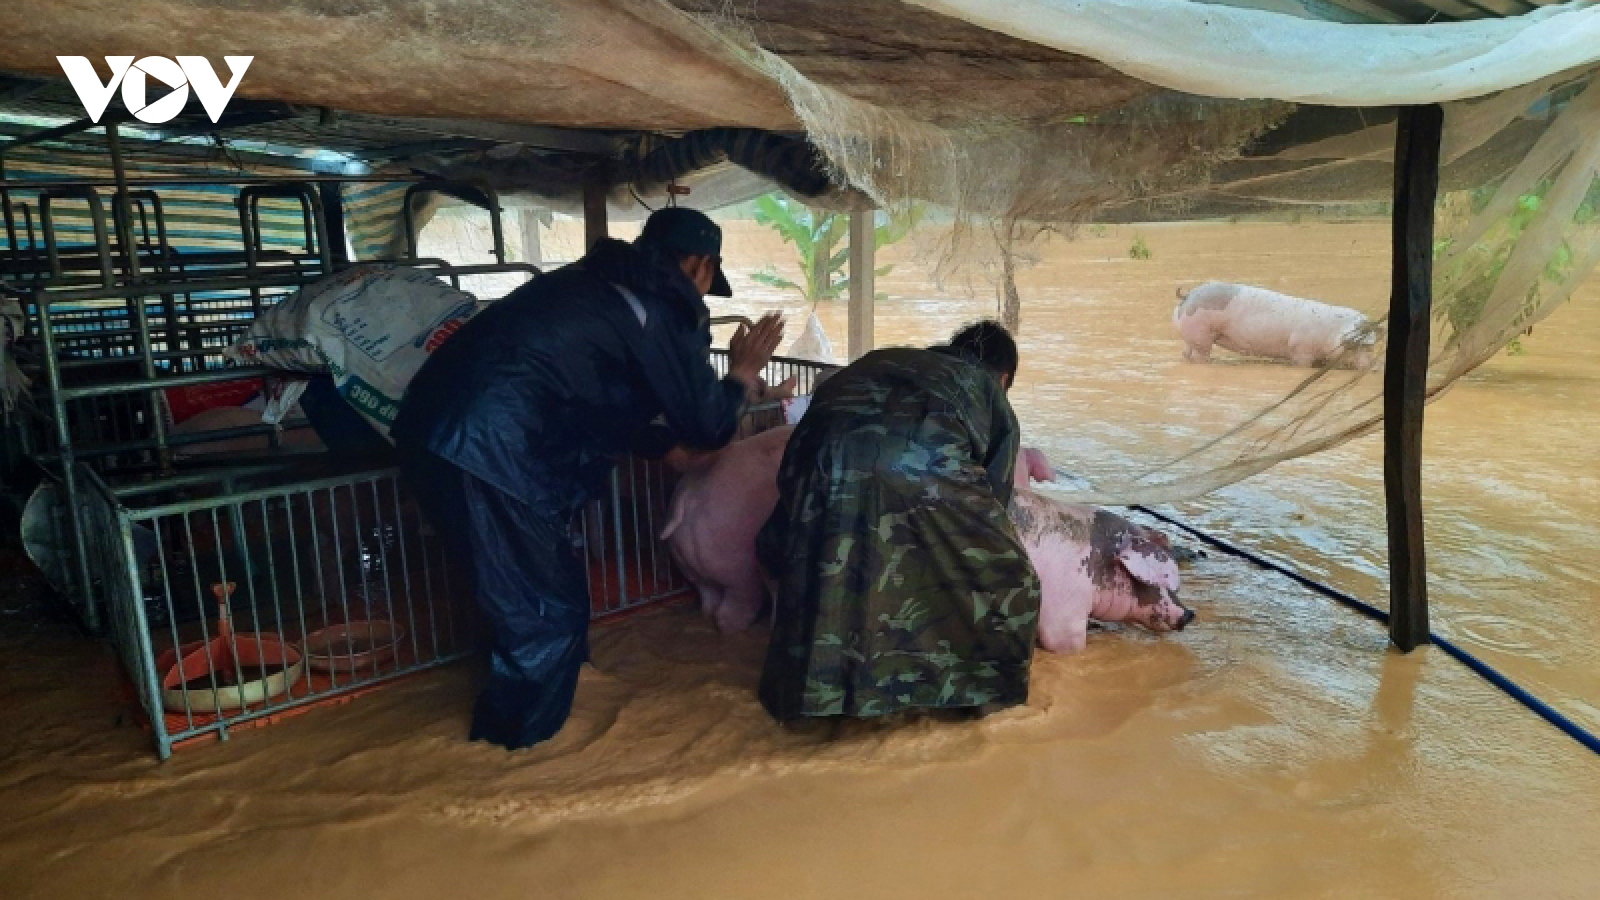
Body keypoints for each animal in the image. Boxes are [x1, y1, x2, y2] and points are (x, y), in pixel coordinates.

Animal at [1171, 278, 1382, 366]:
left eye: (1370, 346)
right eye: (1357, 346)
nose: (1370, 367)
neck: (1332, 332)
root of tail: (1188, 295)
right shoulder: (1301, 349)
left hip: (1191, 336)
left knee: (1186, 353)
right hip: (1201, 334)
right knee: (1200, 355)